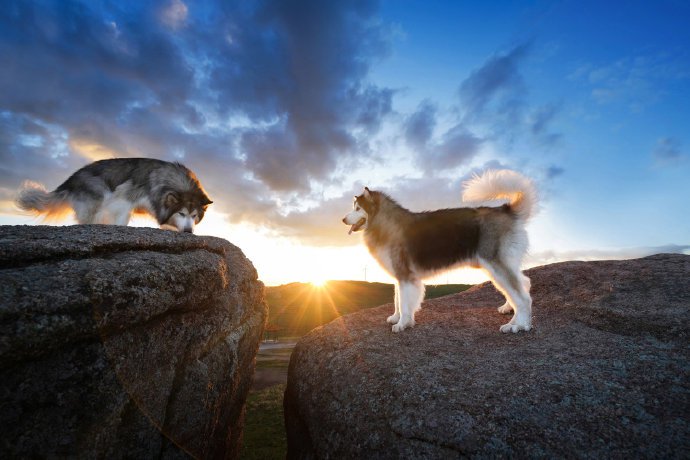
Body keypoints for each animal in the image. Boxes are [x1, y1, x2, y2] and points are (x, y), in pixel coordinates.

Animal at [15, 157, 210, 234]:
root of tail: (71, 179)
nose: (188, 232)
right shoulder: (123, 198)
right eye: (181, 213)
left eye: (194, 215)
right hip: (97, 196)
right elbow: (122, 218)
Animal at [342, 171, 536, 332]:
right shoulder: (399, 276)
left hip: (496, 266)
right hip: (503, 265)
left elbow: (404, 303)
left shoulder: (406, 276)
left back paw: (518, 325)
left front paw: (403, 323)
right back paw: (509, 309)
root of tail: (506, 210)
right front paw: (396, 317)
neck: (384, 223)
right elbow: (397, 300)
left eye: (357, 208)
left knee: (523, 297)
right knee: (524, 284)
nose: (343, 219)